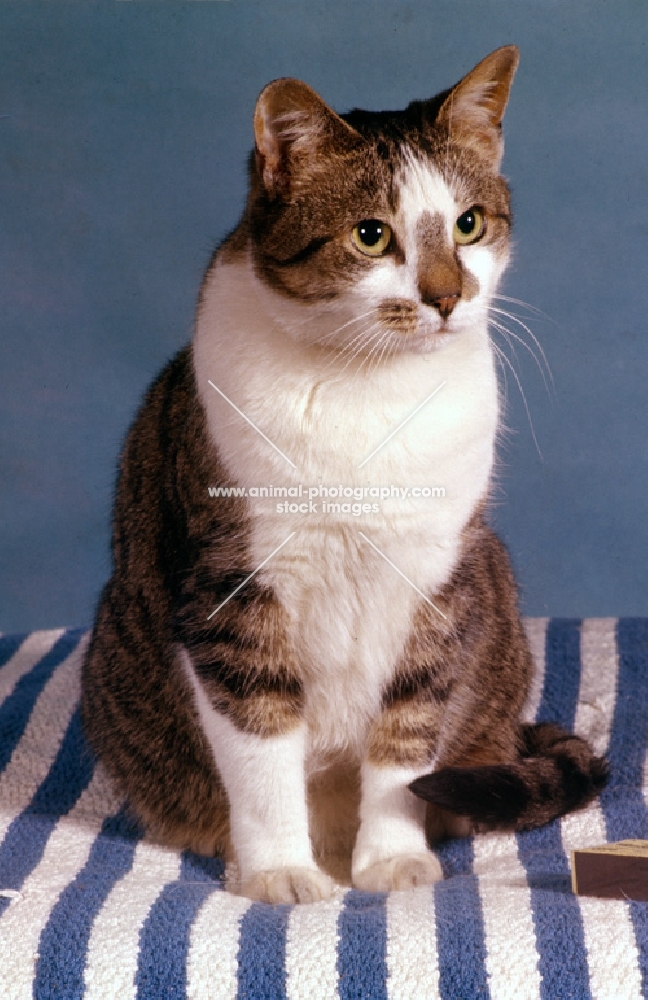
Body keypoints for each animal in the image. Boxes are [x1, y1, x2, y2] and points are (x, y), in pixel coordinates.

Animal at [82, 48, 608, 908]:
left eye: (468, 224)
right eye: (371, 236)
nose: (446, 297)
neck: (371, 391)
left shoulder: (436, 578)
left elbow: (405, 743)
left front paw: (391, 860)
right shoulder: (232, 592)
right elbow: (261, 750)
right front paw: (279, 872)